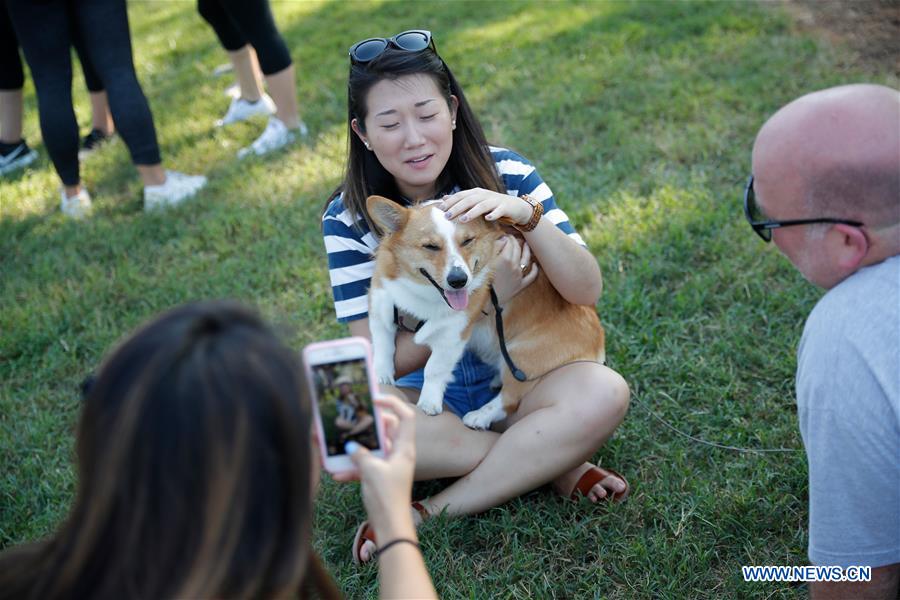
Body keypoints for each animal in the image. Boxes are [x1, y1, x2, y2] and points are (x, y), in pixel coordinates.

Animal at [366, 195, 604, 428]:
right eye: (431, 246)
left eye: (467, 241)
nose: (459, 280)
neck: (424, 294)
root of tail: (599, 340)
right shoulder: (380, 307)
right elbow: (382, 344)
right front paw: (381, 375)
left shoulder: (453, 335)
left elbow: (434, 368)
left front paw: (428, 403)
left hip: (520, 355)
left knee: (510, 400)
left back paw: (479, 416)